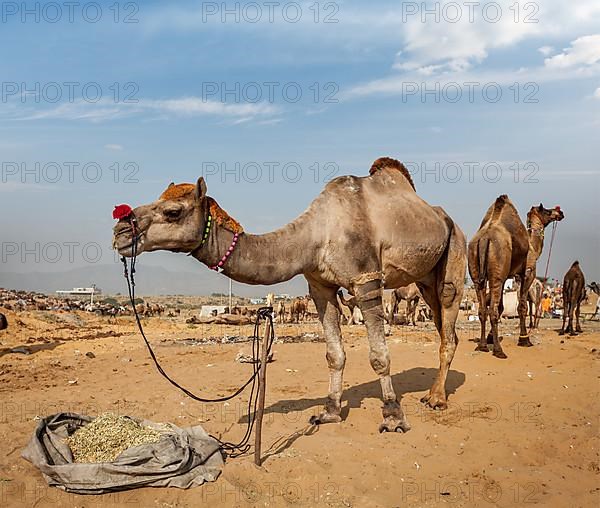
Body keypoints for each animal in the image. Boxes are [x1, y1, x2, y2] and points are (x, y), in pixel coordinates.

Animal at [113, 156, 468, 432]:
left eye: (173, 212)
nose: (120, 229)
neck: (316, 235)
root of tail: (446, 218)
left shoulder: (366, 280)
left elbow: (379, 356)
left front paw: (393, 417)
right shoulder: (319, 286)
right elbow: (334, 354)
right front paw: (329, 412)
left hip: (454, 252)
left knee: (449, 317)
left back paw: (437, 399)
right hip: (424, 278)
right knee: (441, 324)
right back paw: (432, 392)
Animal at [468, 196, 564, 360]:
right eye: (546, 211)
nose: (559, 212)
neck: (533, 248)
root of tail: (485, 239)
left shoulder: (506, 276)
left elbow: (501, 306)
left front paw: (490, 337)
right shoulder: (526, 274)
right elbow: (522, 307)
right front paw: (524, 340)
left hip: (476, 273)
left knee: (482, 310)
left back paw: (482, 346)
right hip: (496, 274)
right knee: (492, 311)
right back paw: (498, 351)